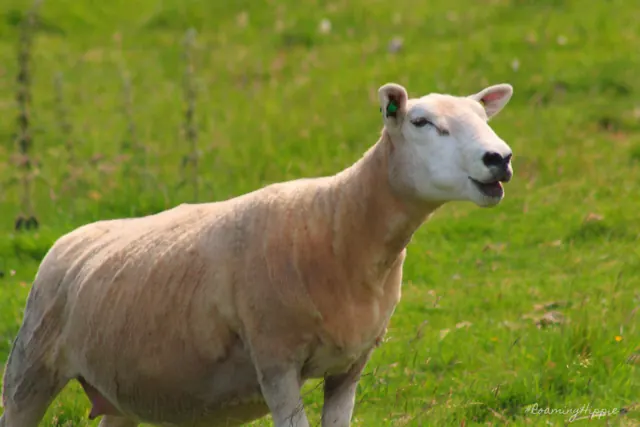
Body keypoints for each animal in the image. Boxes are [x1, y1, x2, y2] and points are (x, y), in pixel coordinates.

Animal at [0, 81, 514, 427]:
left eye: (483, 118)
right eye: (421, 122)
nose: (500, 158)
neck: (339, 223)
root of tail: (73, 237)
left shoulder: (350, 367)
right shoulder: (276, 363)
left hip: (120, 392)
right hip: (29, 371)